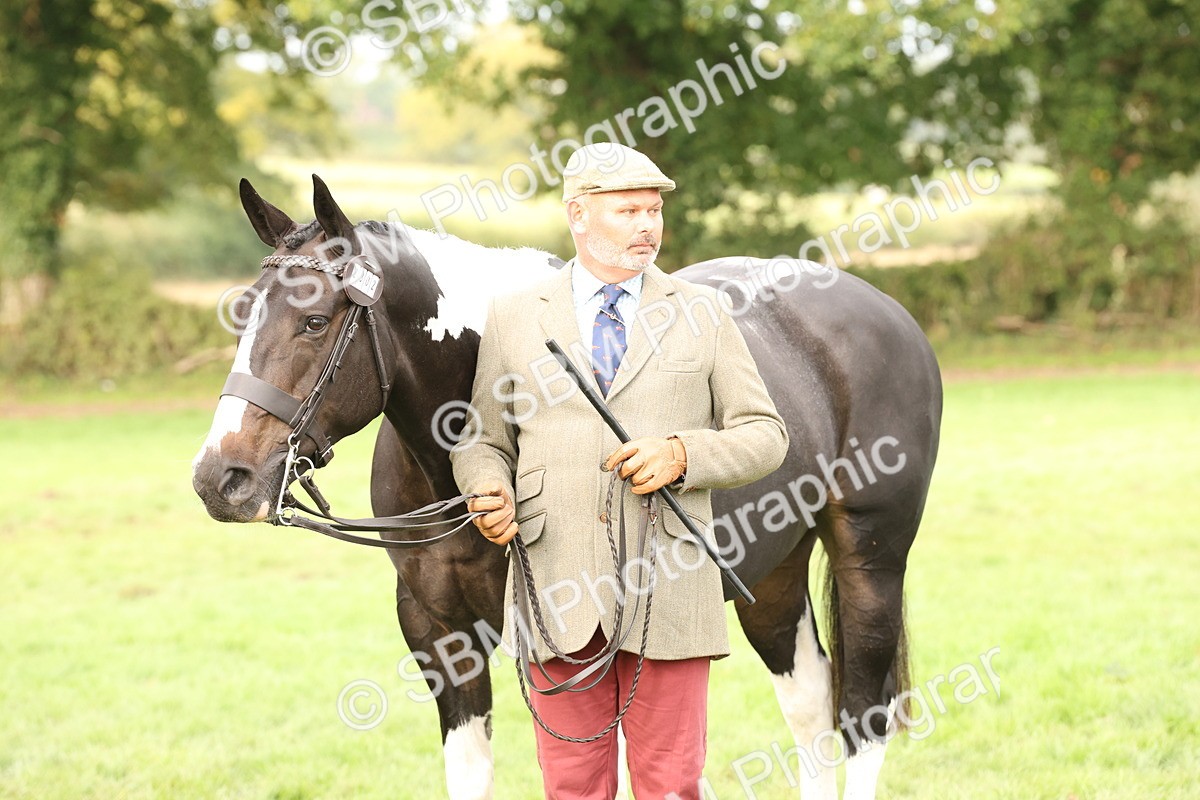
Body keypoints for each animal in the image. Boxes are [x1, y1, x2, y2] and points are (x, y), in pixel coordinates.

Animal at [192, 175, 942, 800]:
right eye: (243, 315)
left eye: (315, 321)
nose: (219, 478)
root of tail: (884, 310)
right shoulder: (439, 634)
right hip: (772, 573)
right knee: (810, 707)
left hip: (871, 560)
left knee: (862, 716)